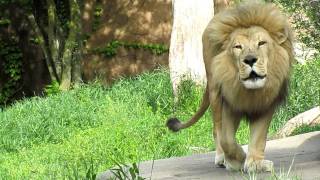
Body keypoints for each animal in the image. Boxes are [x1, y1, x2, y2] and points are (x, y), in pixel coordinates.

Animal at [166, 1, 294, 173]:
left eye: (261, 43)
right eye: (238, 47)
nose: (250, 59)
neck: (250, 92)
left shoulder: (266, 105)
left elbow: (259, 137)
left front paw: (255, 163)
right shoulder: (228, 102)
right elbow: (226, 139)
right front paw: (237, 159)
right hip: (214, 91)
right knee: (216, 130)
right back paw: (221, 158)